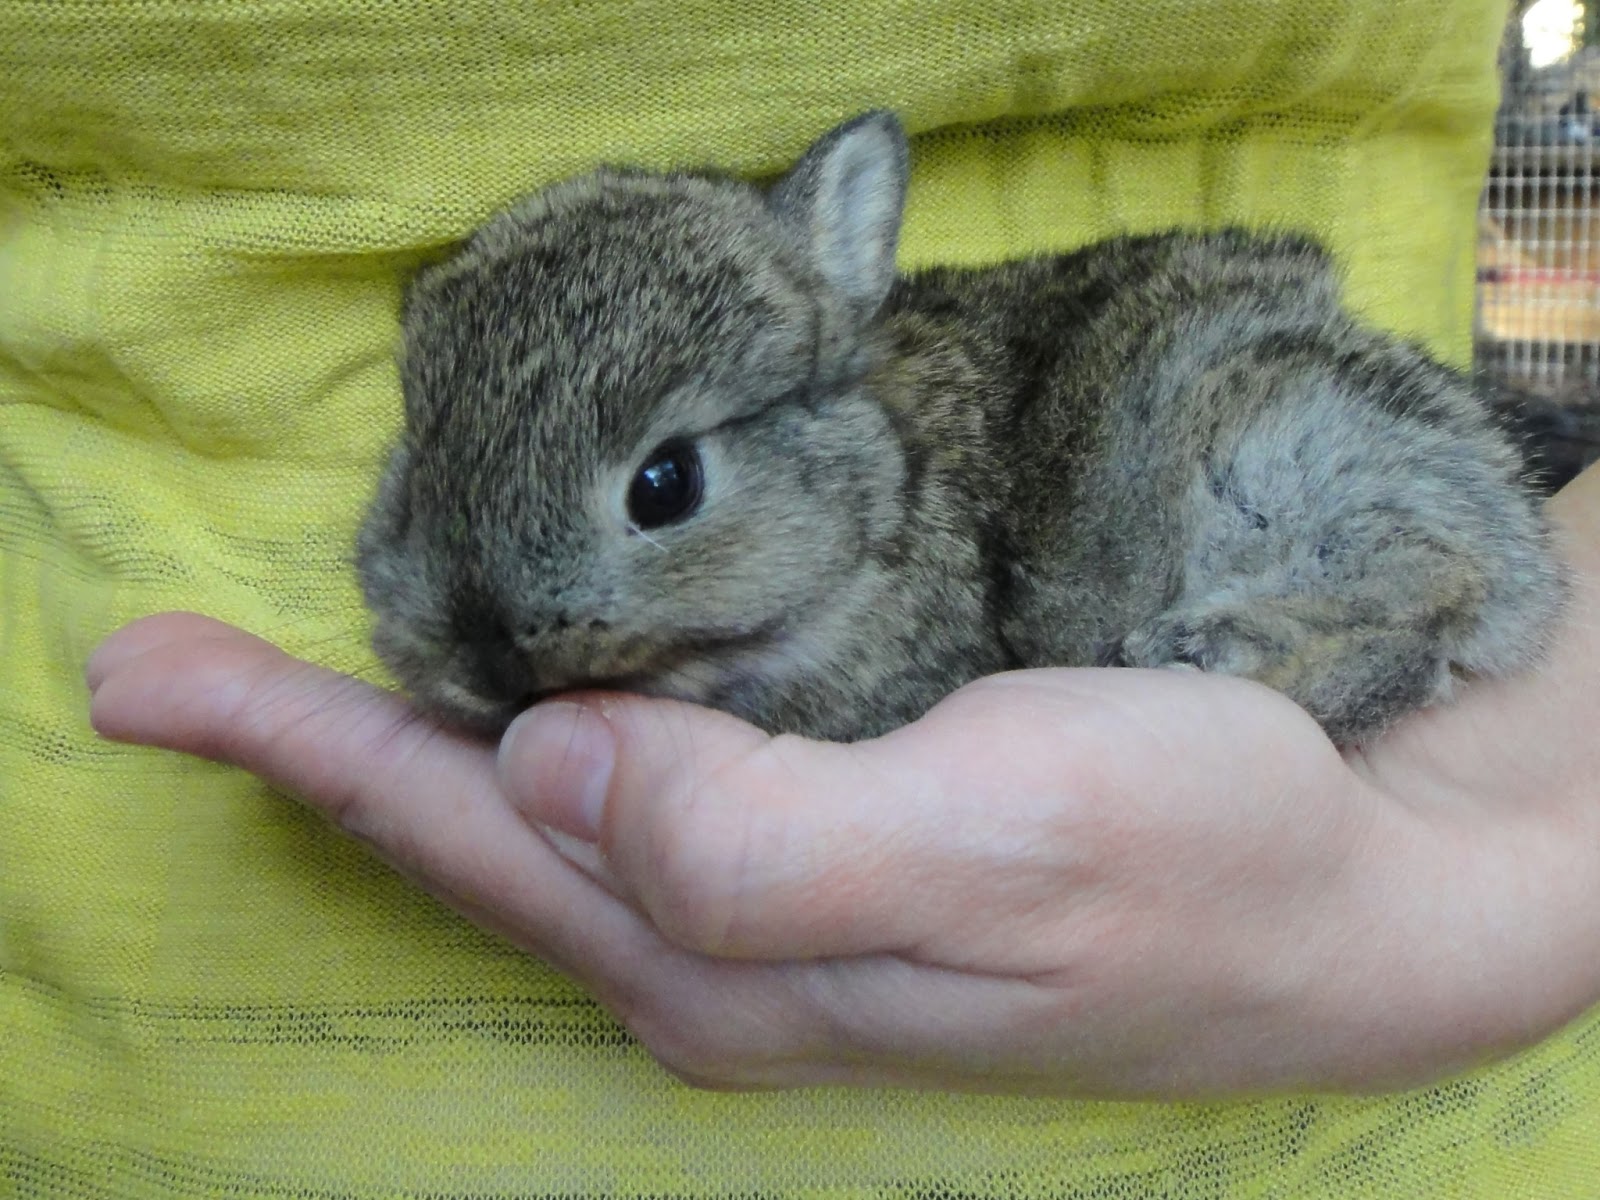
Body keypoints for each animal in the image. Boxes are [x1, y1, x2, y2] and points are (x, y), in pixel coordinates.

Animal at [355, 110, 1565, 745]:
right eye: (416, 462)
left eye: (665, 484)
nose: (487, 655)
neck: (880, 501)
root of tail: (1526, 555)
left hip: (1269, 440)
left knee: (1428, 583)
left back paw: (1211, 641)